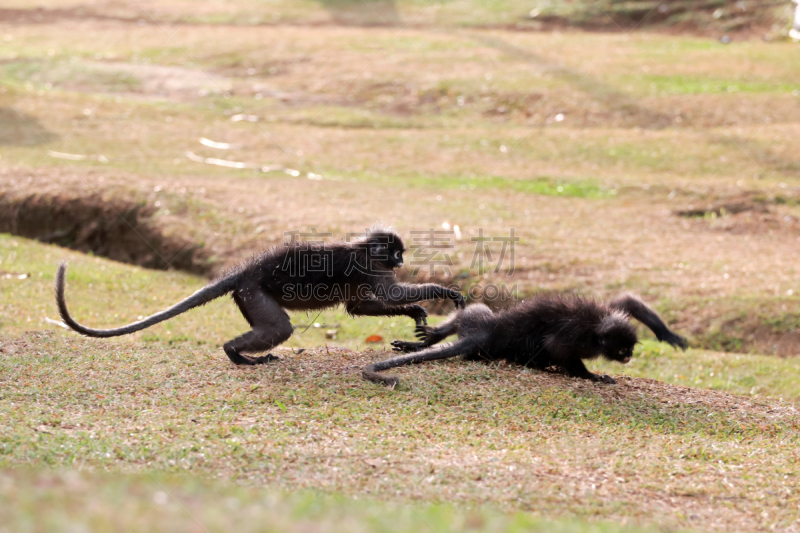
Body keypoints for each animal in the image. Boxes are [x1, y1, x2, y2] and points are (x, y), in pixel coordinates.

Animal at [56, 224, 466, 366]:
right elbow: (387, 293)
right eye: (396, 253)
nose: (401, 260)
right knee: (279, 329)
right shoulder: (370, 267)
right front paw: (440, 292)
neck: (367, 250)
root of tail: (247, 270)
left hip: (247, 293)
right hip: (253, 291)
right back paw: (233, 353)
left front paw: (415, 312)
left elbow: (360, 306)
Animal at [362, 290, 688, 386]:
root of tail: (487, 334)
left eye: (630, 347)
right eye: (622, 350)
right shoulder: (577, 336)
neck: (598, 329)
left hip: (477, 320)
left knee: (471, 312)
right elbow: (558, 347)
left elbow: (627, 300)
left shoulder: (612, 312)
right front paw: (592, 376)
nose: (629, 356)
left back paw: (428, 339)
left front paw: (668, 334)